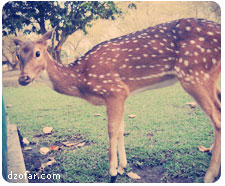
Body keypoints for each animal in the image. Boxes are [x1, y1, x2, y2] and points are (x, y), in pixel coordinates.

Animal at [14, 18, 221, 182]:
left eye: (38, 53)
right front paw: (123, 166)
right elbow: (121, 128)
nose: (23, 78)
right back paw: (210, 152)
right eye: (18, 55)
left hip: (194, 73)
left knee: (217, 119)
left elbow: (112, 130)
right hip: (206, 75)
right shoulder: (122, 94)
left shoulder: (114, 90)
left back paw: (209, 175)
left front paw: (112, 172)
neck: (82, 80)